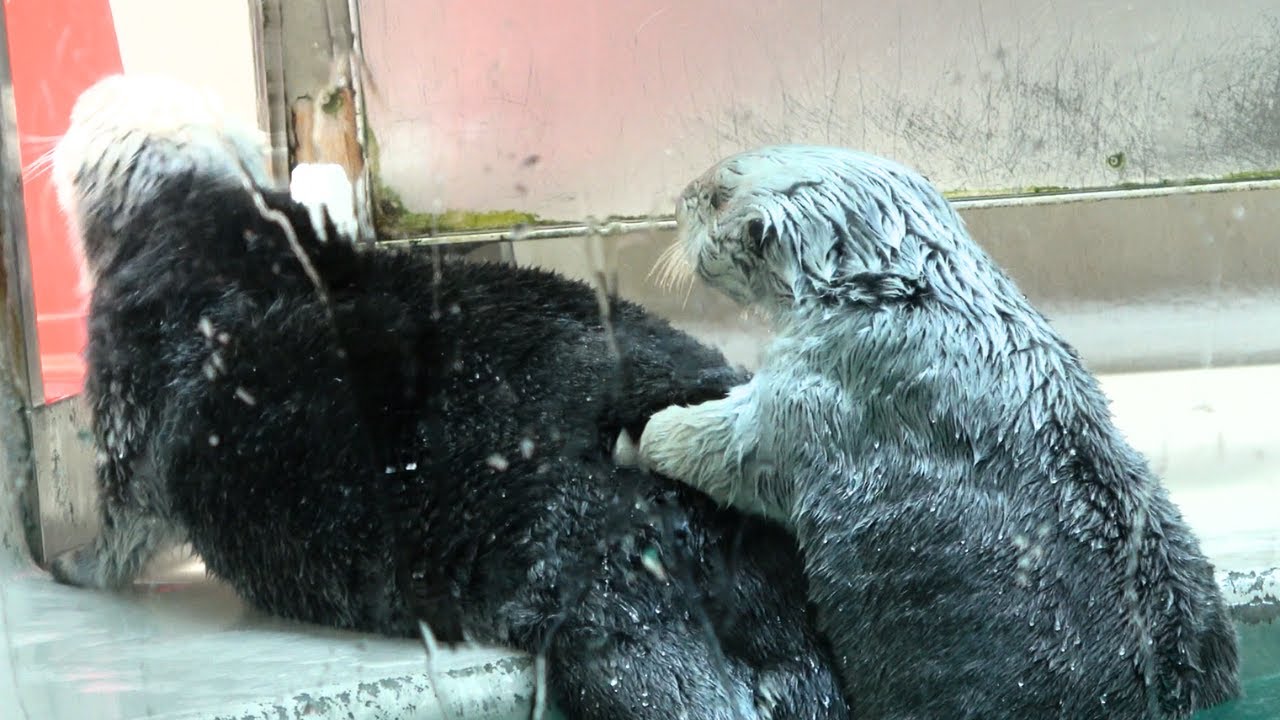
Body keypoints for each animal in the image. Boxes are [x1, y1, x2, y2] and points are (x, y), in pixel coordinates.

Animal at [636, 145, 1241, 719]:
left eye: (717, 195)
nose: (679, 200)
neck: (909, 296)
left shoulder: (828, 391)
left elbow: (738, 449)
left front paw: (651, 431)